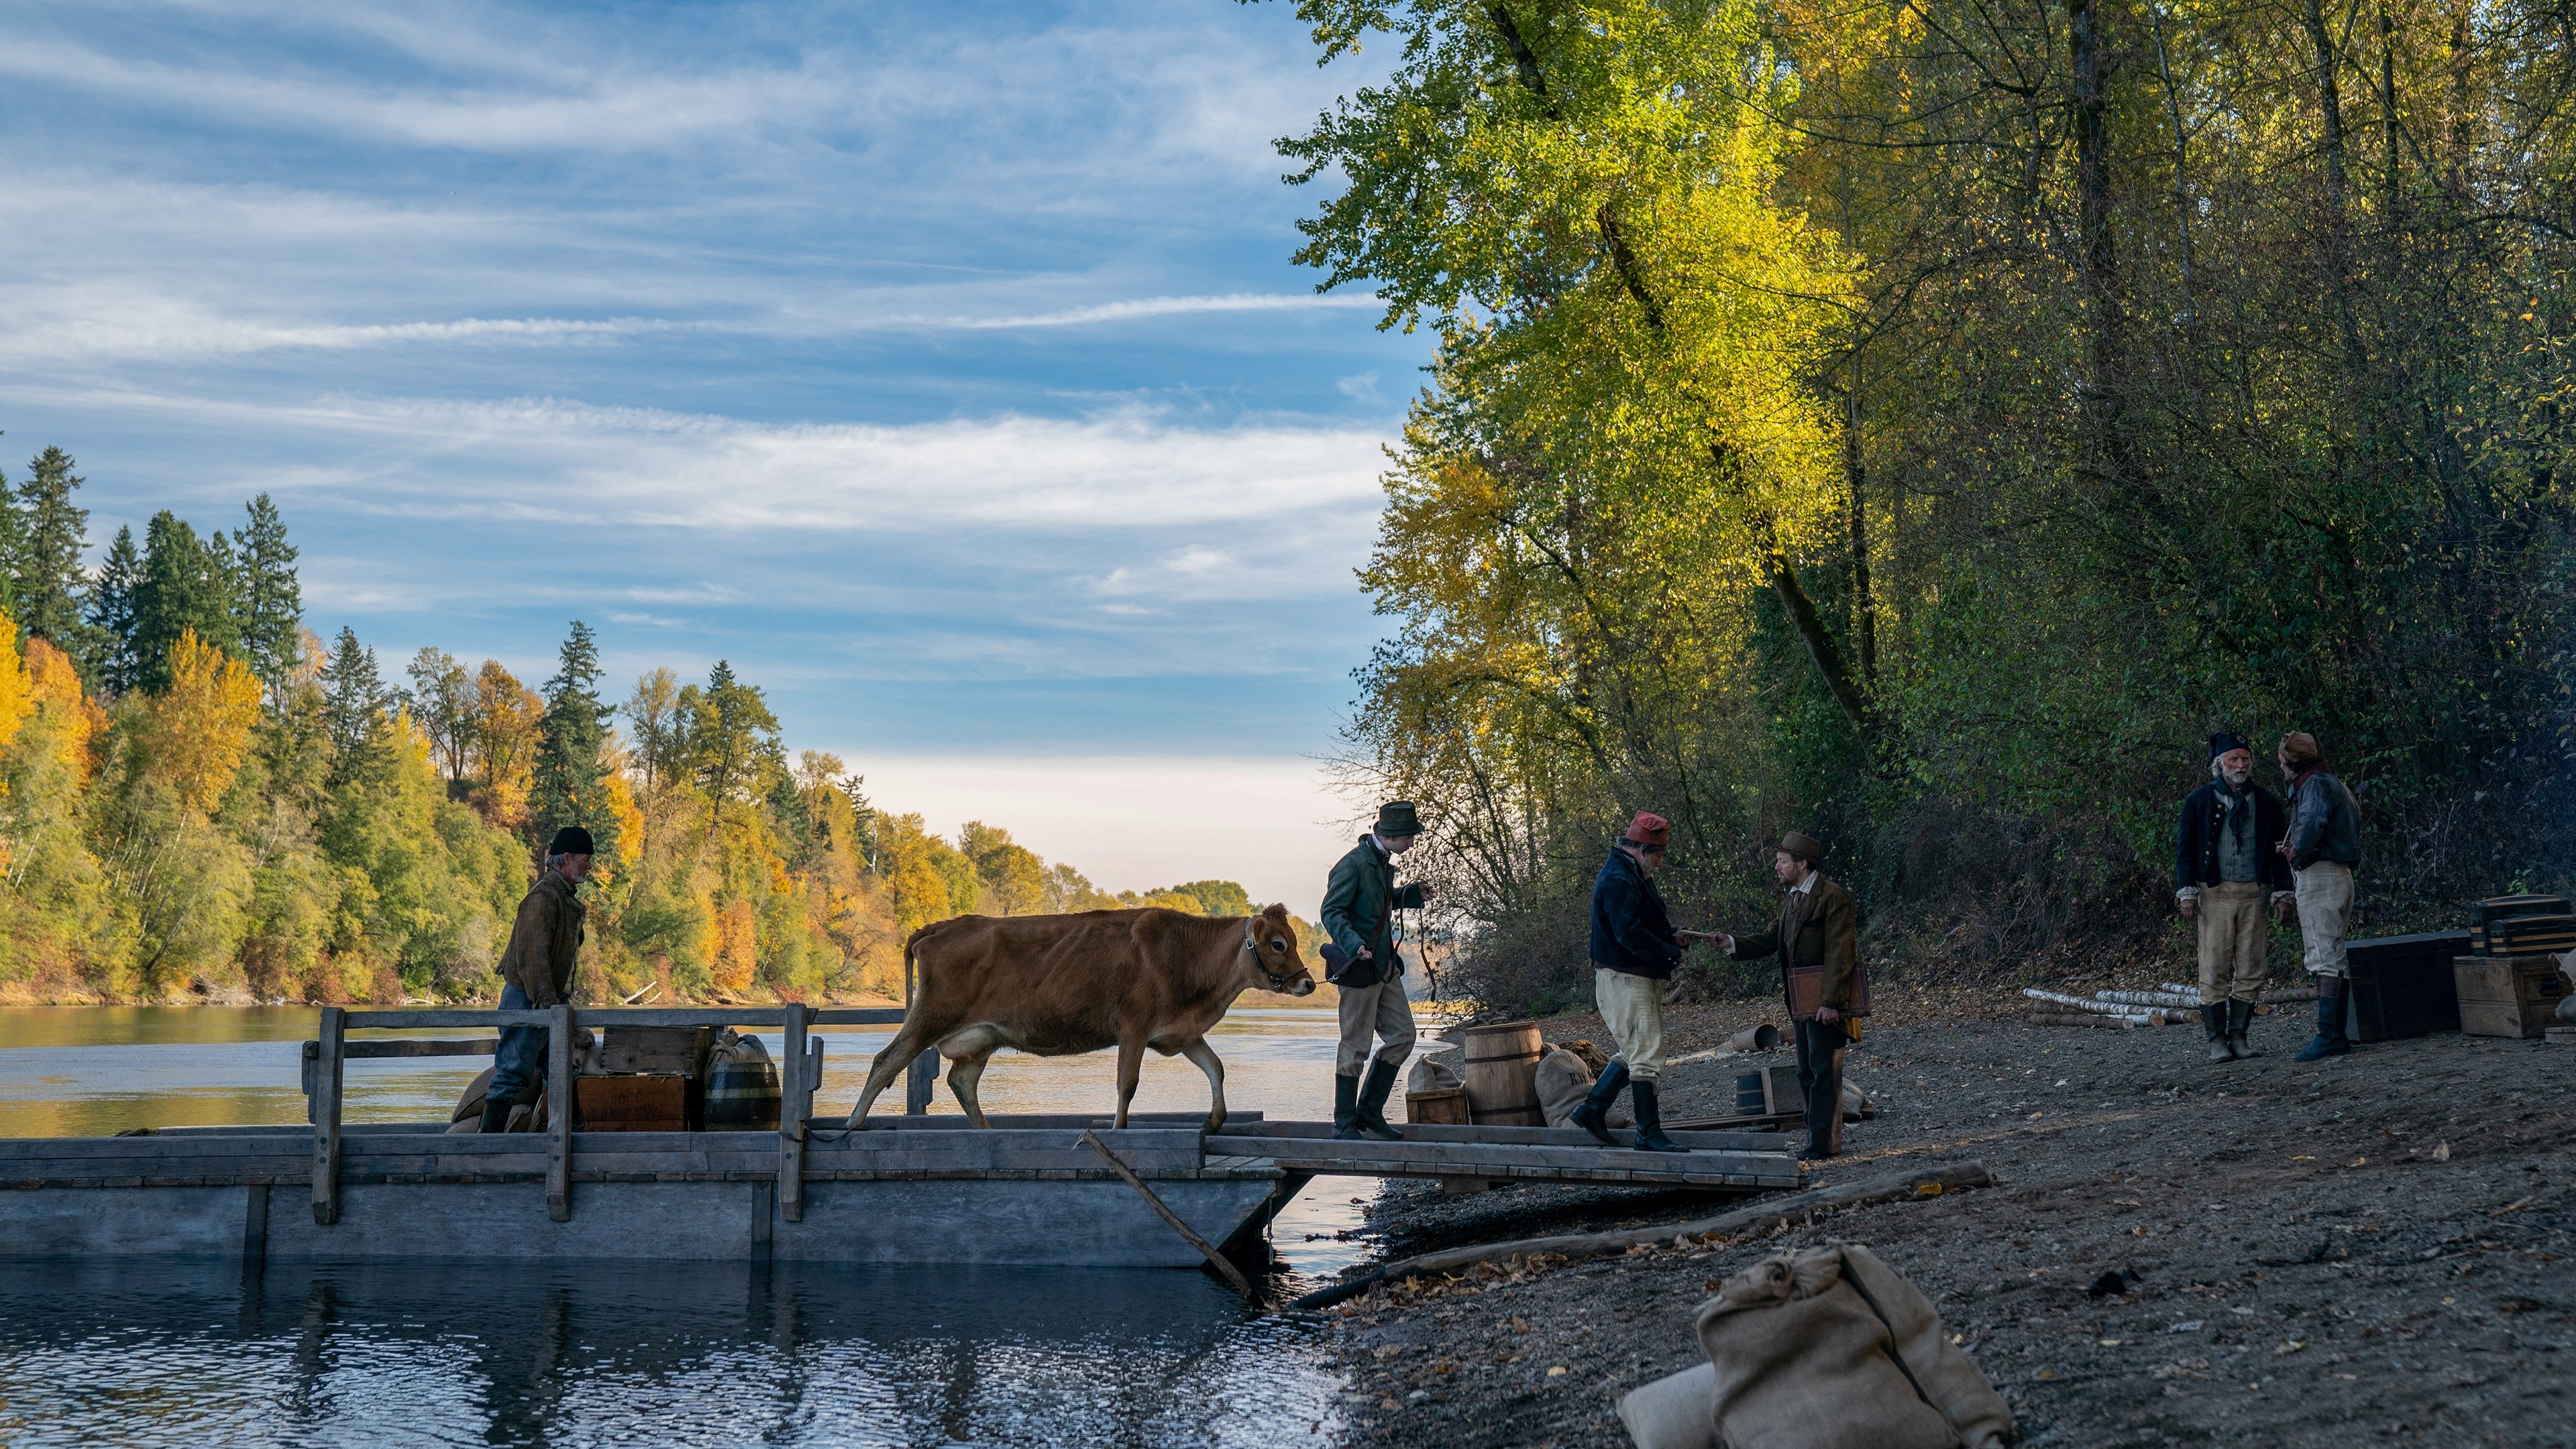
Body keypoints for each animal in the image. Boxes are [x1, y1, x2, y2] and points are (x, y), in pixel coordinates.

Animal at [855, 902, 1319, 1129]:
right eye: (1278, 944)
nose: (1309, 984)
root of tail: (939, 926)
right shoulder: (1133, 1026)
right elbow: (1127, 1085)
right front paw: (1117, 1131)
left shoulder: (1181, 1033)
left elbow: (1216, 1068)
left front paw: (1217, 1119)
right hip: (930, 1016)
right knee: (886, 1062)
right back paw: (854, 1126)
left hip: (980, 1038)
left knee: (961, 1082)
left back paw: (987, 1131)